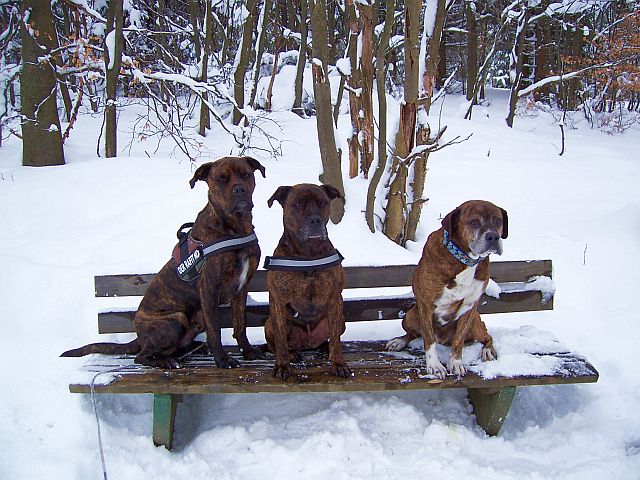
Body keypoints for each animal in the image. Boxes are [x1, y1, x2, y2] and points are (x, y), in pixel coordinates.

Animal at [384, 200, 510, 378]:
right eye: (473, 222)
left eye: (498, 222)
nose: (493, 236)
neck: (464, 259)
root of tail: (443, 339)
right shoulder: (426, 304)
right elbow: (428, 339)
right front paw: (434, 365)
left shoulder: (469, 308)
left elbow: (459, 339)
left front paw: (455, 363)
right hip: (410, 315)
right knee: (414, 334)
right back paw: (398, 342)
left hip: (475, 324)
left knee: (486, 335)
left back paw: (487, 350)